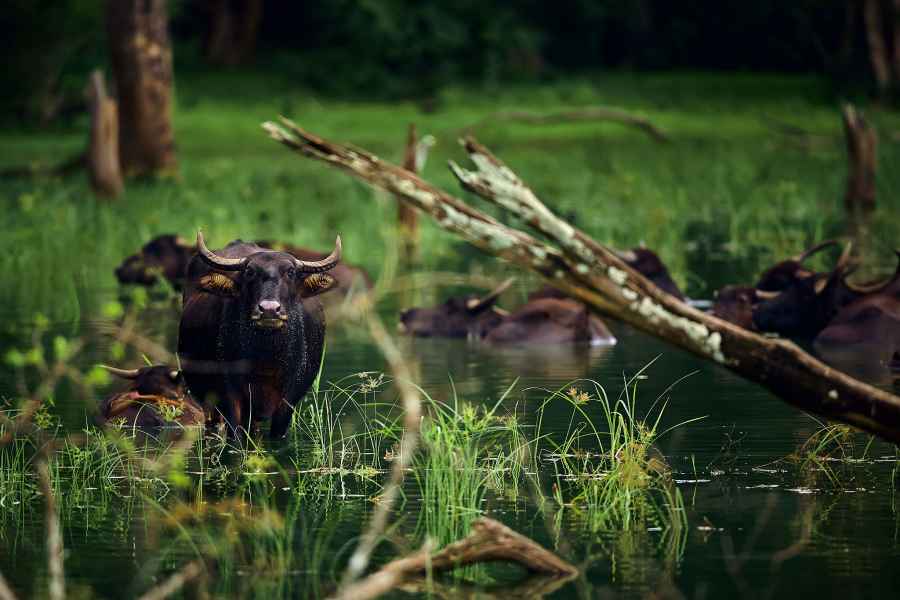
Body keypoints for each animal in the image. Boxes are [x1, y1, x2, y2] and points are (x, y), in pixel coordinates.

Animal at [178, 232, 341, 438]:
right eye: (249, 272)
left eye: (290, 272)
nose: (269, 309)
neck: (266, 360)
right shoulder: (229, 395)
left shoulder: (289, 398)